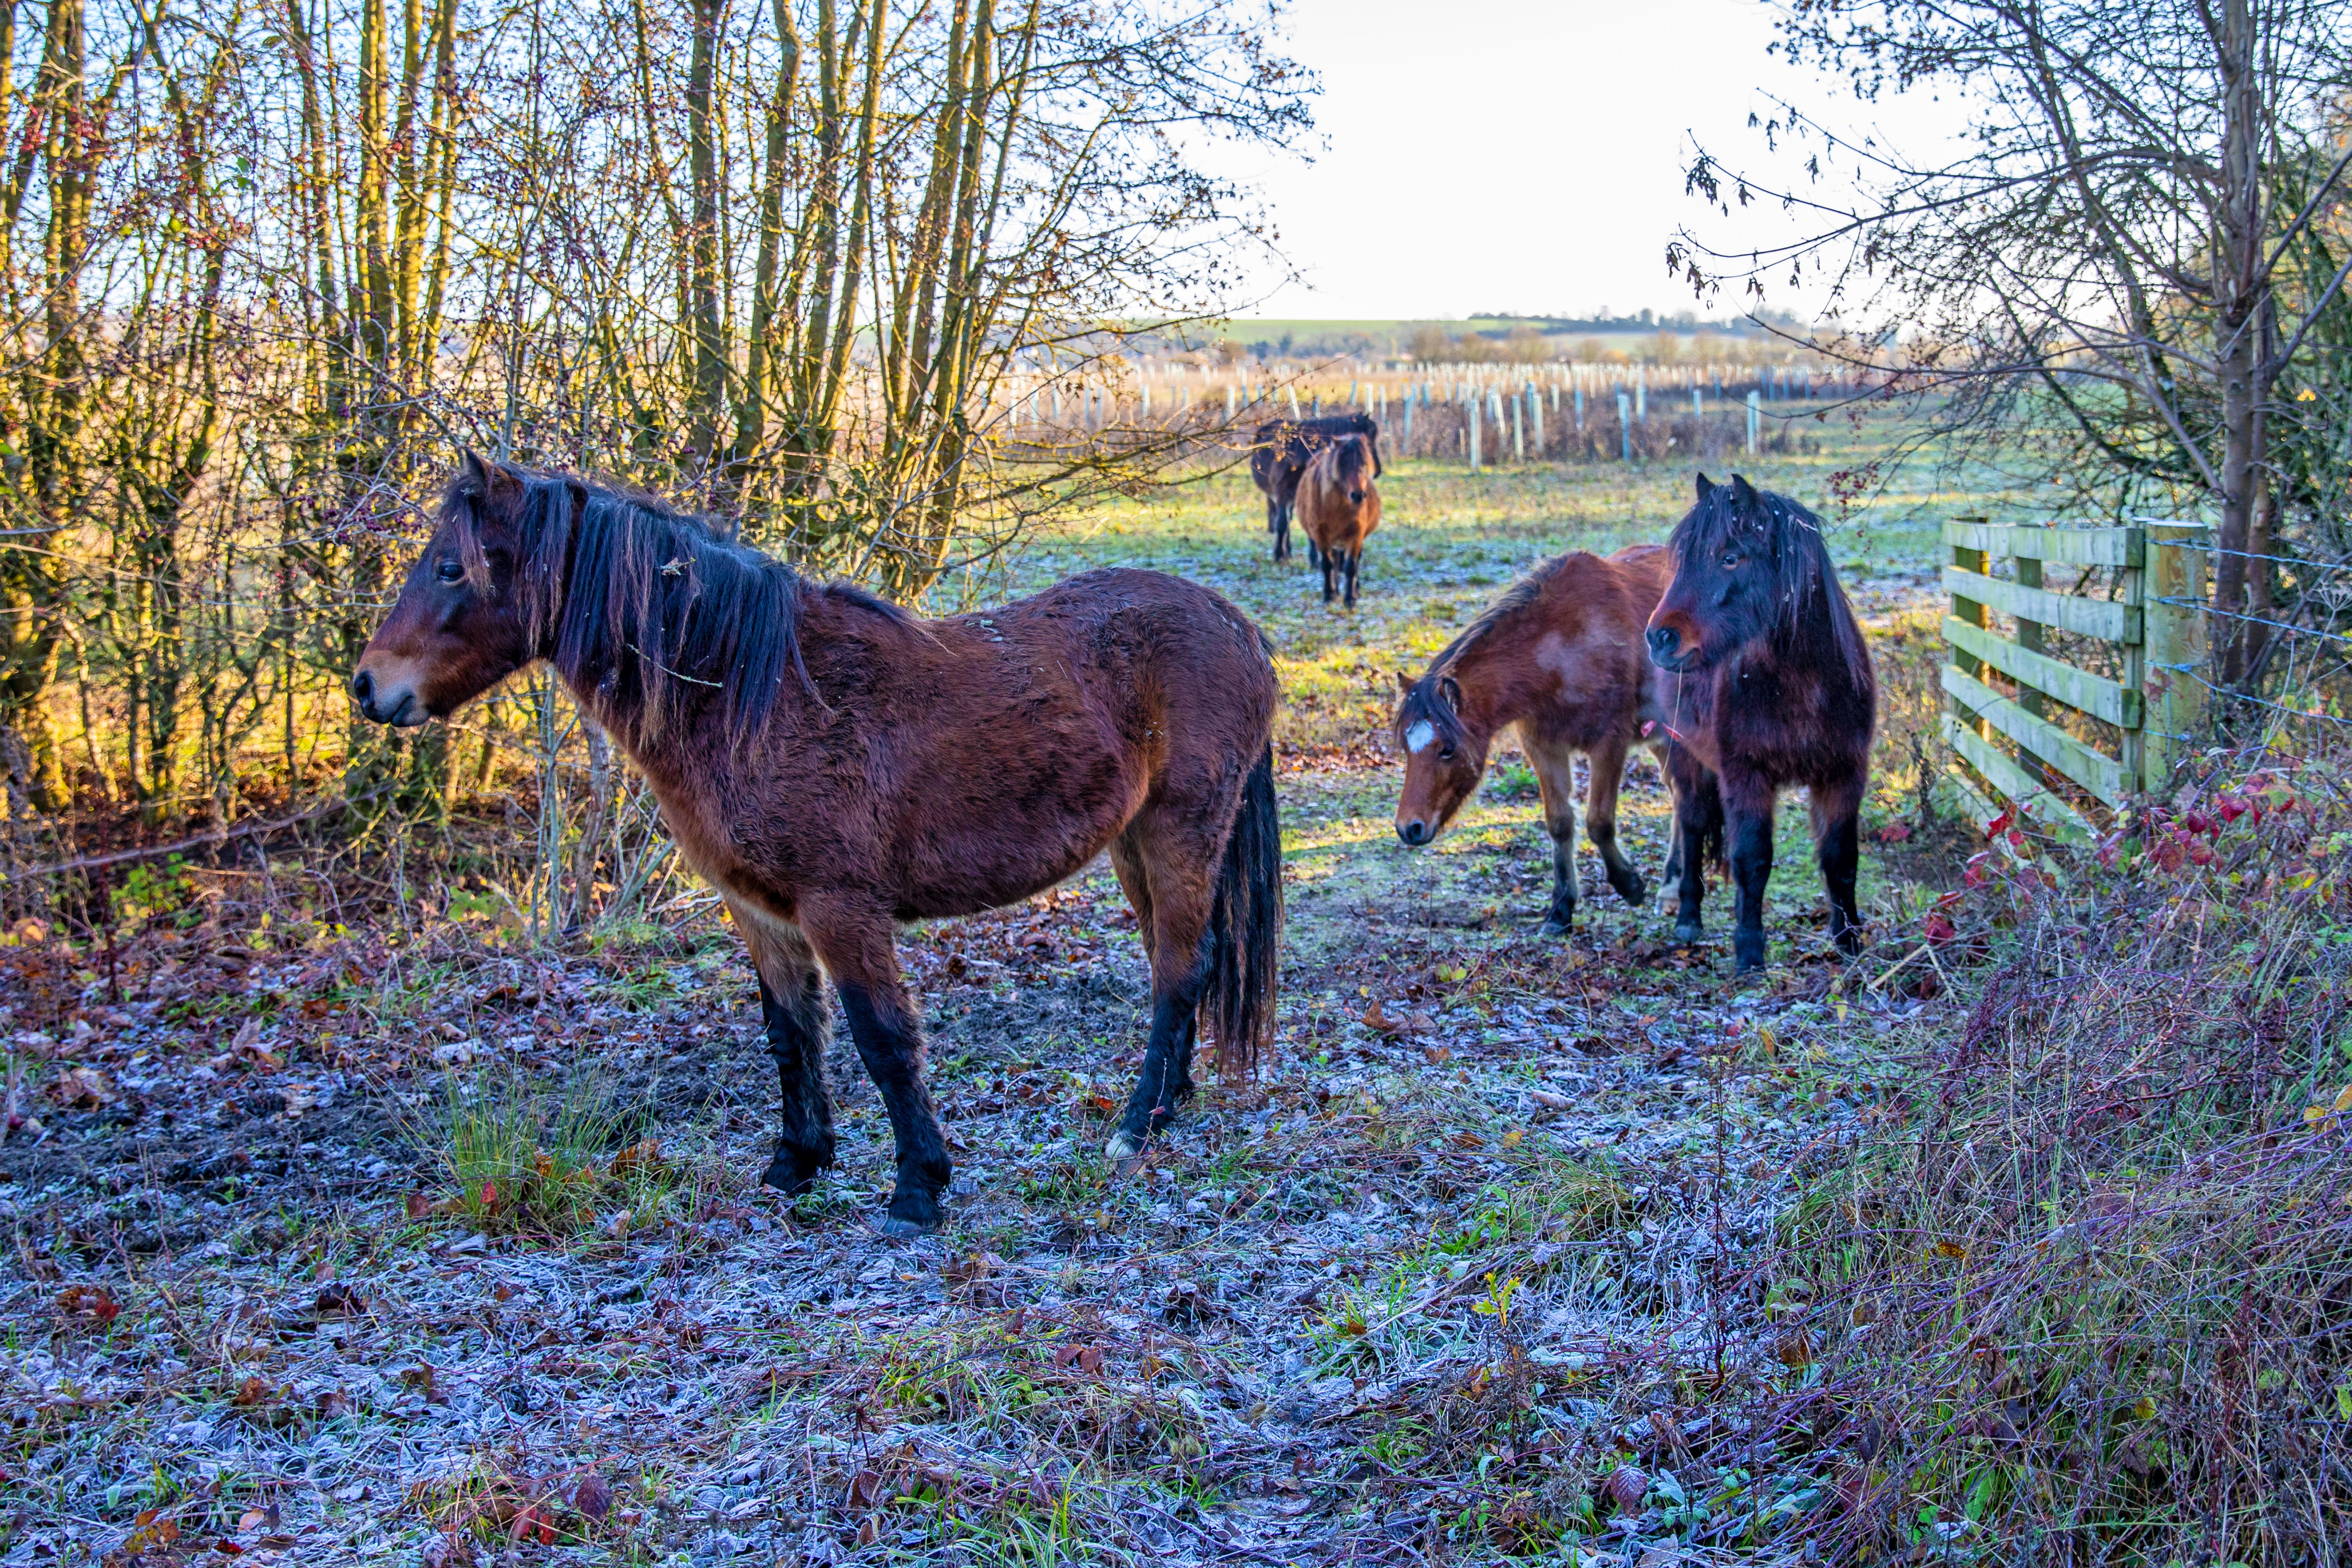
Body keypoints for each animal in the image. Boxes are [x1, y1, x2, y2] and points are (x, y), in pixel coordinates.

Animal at [351, 453, 1283, 1237]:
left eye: (451, 567)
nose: (368, 686)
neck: (752, 694)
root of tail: (1237, 625)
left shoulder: (841, 908)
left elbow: (882, 1038)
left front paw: (917, 1189)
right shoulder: (759, 909)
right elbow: (790, 1033)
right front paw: (796, 1163)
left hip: (1179, 832)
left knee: (1179, 970)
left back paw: (1135, 1125)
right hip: (1133, 844)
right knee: (1186, 964)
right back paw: (1168, 1103)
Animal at [1249, 412, 1381, 564]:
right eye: (1369, 441)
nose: (1378, 471)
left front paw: (1314, 560)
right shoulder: (1283, 495)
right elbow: (1282, 524)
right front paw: (1278, 555)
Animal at [1296, 433, 1381, 607]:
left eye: (1364, 462)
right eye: (1341, 464)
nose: (1358, 495)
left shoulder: (1356, 535)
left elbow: (1351, 567)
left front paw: (1350, 599)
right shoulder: (1321, 535)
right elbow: (1327, 565)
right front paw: (1329, 594)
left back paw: (1355, 588)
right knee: (1335, 562)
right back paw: (1335, 589)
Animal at [1392, 544, 1708, 936]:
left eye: (1447, 750)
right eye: (1407, 749)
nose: (1409, 828)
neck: (1563, 646)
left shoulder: (1609, 744)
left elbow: (1599, 822)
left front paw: (1629, 885)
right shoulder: (1543, 748)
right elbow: (1559, 823)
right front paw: (1560, 910)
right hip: (1662, 739)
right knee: (1678, 794)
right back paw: (1670, 890)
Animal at [1645, 474, 1876, 972]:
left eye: (1730, 557)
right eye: (1683, 559)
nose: (1659, 638)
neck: (1806, 683)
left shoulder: (1845, 774)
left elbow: (1841, 858)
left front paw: (1849, 940)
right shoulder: (1747, 775)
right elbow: (1753, 861)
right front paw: (1750, 952)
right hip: (1687, 759)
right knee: (1691, 826)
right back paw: (1688, 917)